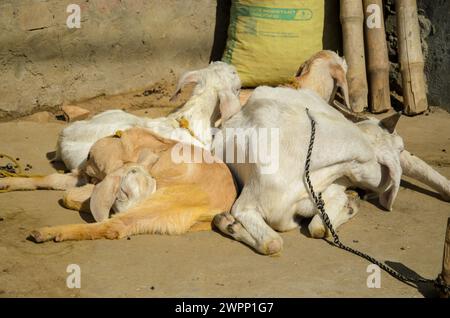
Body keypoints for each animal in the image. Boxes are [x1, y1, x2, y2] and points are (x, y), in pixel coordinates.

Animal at [213, 87, 450, 256]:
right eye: (397, 148)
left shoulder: (331, 183)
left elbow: (318, 226)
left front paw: (350, 205)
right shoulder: (246, 205)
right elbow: (274, 242)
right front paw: (229, 224)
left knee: (416, 162)